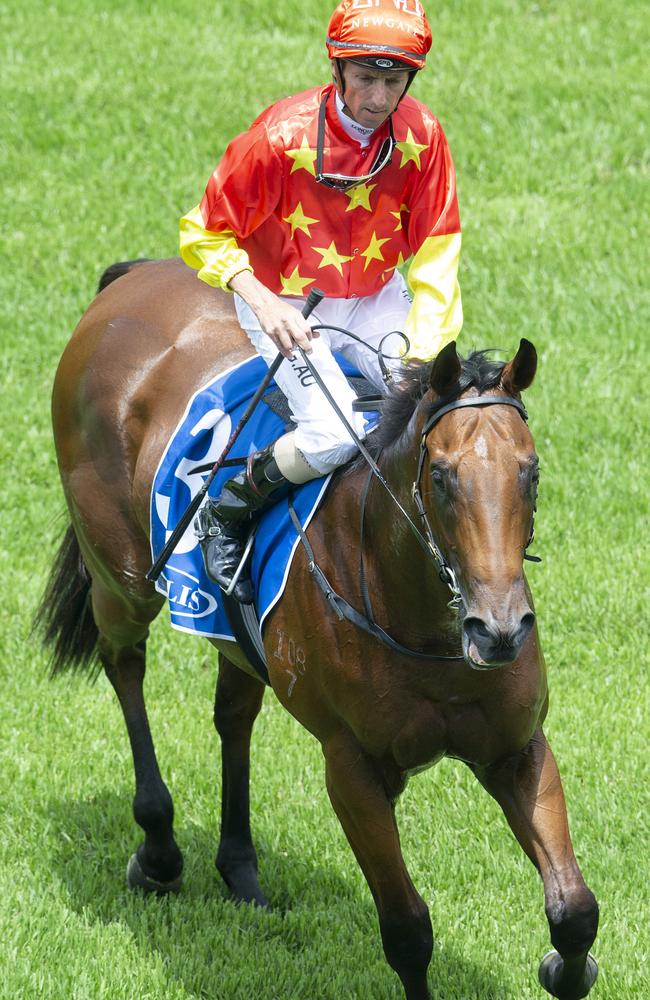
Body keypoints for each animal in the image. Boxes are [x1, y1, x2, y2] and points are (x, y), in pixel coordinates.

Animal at [36, 260, 596, 1000]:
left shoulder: (517, 747)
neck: (427, 634)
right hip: (120, 579)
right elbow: (408, 928)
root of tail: (131, 278)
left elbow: (575, 911)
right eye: (443, 477)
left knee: (233, 714)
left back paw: (240, 866)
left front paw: (568, 964)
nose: (499, 630)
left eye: (530, 472)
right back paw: (158, 849)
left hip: (233, 635)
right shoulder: (352, 768)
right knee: (124, 666)